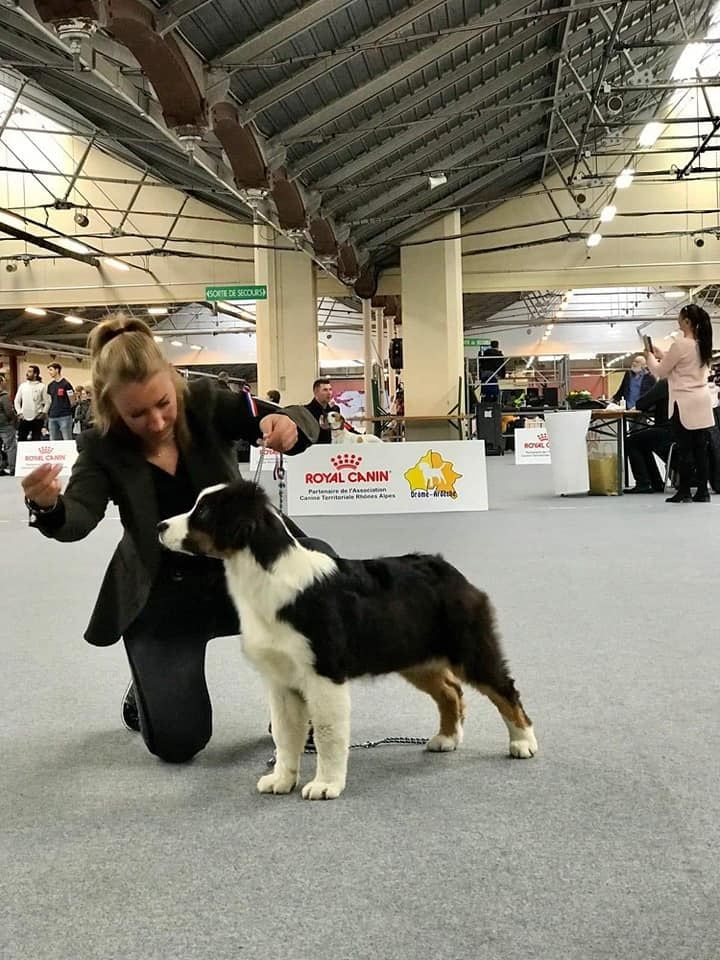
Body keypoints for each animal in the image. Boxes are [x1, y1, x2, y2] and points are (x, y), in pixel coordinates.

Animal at [158, 480, 537, 800]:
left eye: (204, 513)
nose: (160, 527)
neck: (264, 577)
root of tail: (448, 569)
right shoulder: (280, 680)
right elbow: (284, 734)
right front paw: (282, 779)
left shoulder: (324, 674)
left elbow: (327, 733)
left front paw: (325, 785)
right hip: (414, 656)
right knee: (450, 691)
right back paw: (446, 738)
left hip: (470, 648)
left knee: (504, 690)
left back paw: (523, 743)